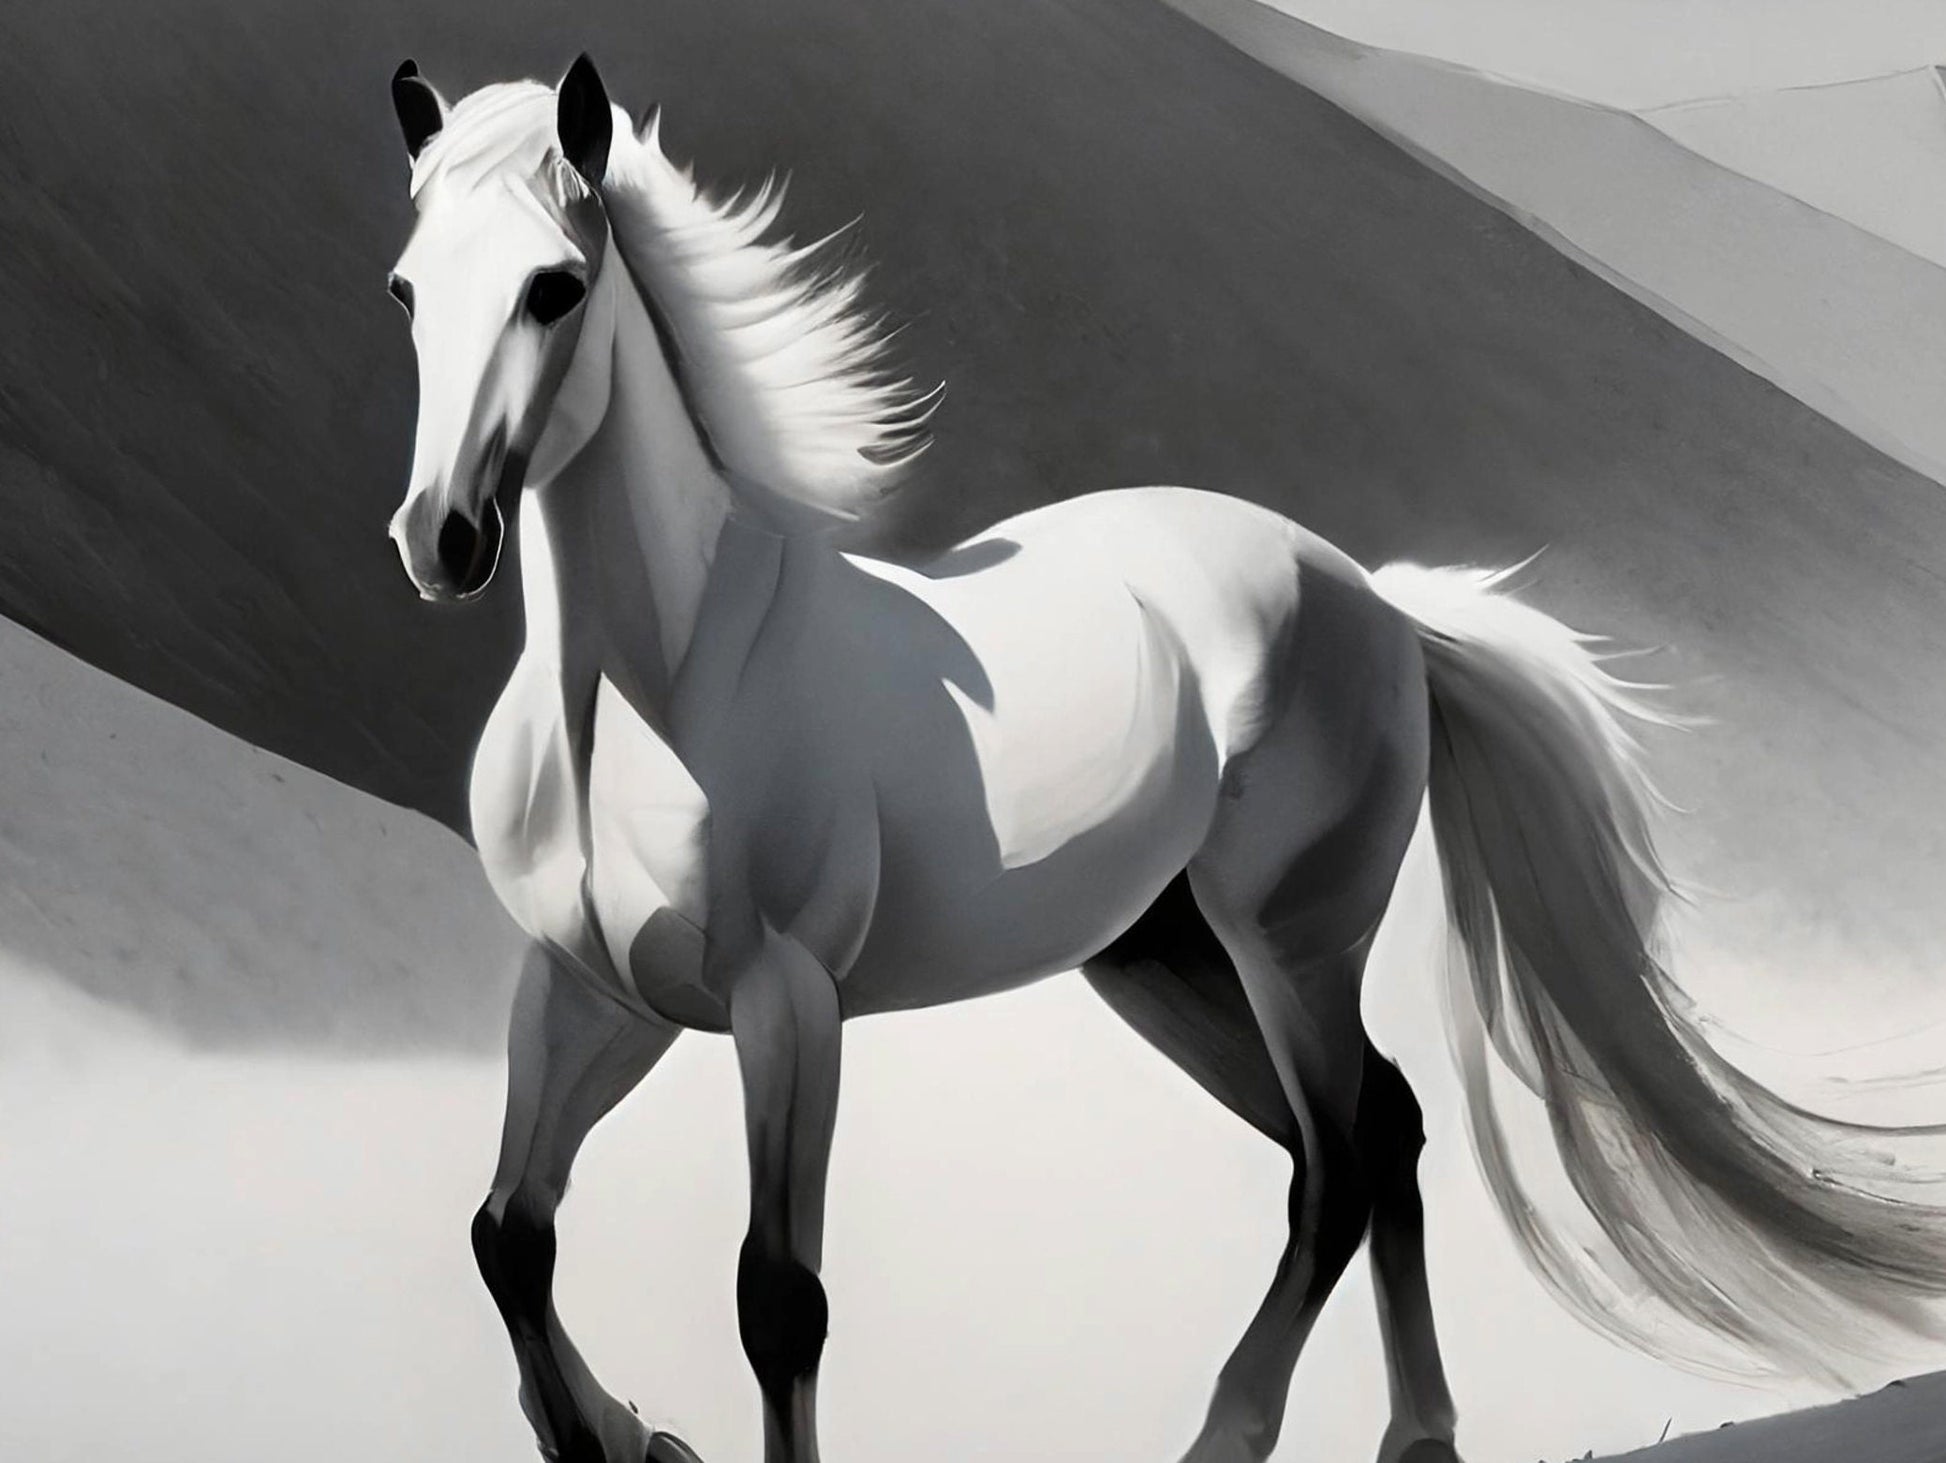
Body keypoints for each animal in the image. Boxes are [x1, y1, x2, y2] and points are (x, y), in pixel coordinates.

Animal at [379, 53, 1946, 1463]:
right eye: (405, 287)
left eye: (553, 287)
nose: (439, 539)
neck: (655, 690)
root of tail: (1376, 600)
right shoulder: (587, 989)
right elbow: (508, 1234)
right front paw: (620, 1434)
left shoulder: (786, 1001)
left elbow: (781, 1300)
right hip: (1166, 960)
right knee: (1378, 1127)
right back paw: (1416, 1435)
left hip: (1286, 941)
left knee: (1335, 1161)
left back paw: (1233, 1434)